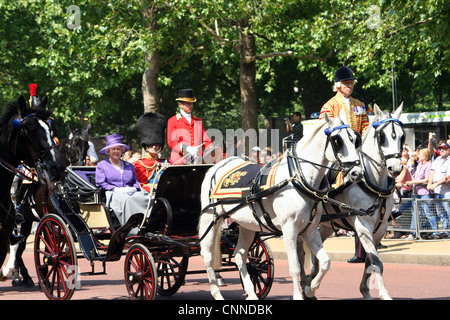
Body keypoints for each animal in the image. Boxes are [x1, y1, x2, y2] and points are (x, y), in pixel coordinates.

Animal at [200, 114, 366, 300]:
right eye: (338, 141)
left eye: (355, 140)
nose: (357, 173)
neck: (298, 178)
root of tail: (218, 165)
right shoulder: (289, 229)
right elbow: (295, 267)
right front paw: (299, 295)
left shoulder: (310, 230)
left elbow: (325, 262)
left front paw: (310, 289)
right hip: (211, 219)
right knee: (208, 255)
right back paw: (217, 292)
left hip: (247, 225)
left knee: (239, 254)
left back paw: (251, 293)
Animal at [298, 104, 404, 300]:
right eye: (382, 136)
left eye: (402, 136)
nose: (396, 168)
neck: (373, 182)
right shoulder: (363, 227)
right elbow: (377, 262)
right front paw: (384, 294)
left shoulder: (380, 229)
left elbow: (371, 261)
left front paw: (365, 290)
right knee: (300, 252)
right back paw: (304, 284)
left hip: (324, 225)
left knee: (315, 250)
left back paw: (311, 280)